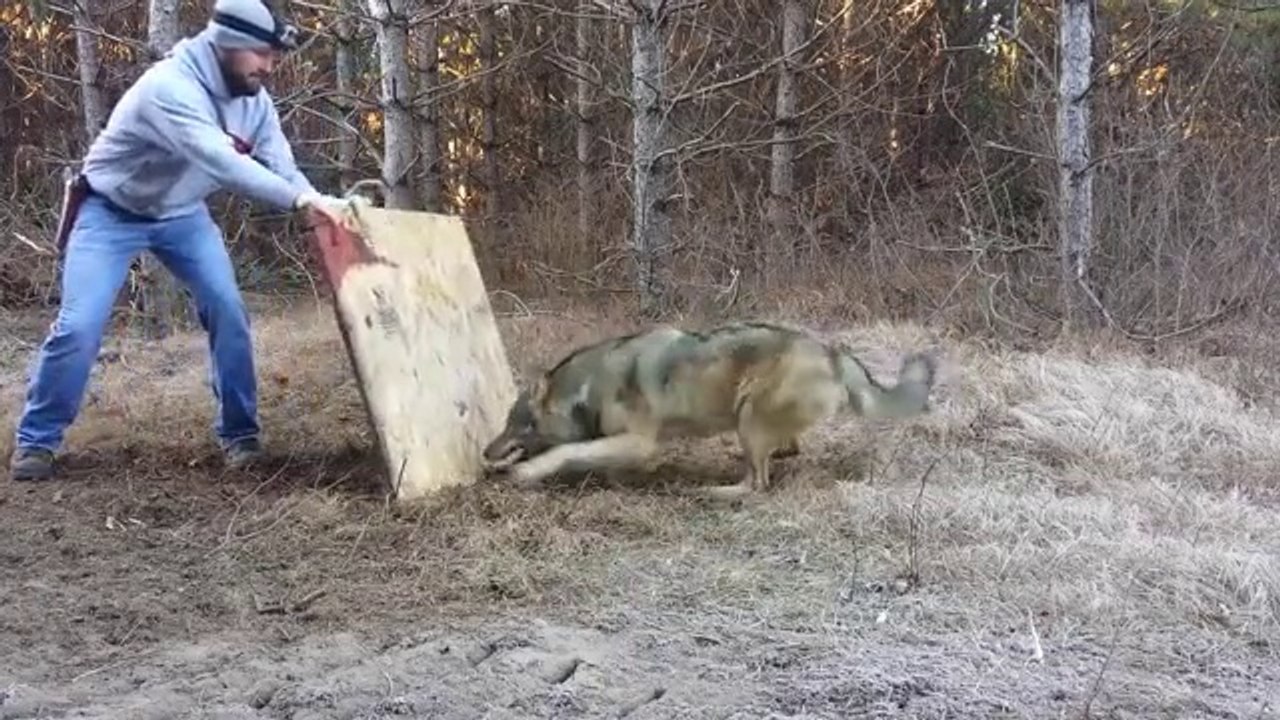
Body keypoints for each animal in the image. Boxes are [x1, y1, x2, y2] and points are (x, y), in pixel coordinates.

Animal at [481, 321, 939, 499]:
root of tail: (834, 352)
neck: (588, 390)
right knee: (786, 452)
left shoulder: (640, 442)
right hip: (753, 423)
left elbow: (566, 453)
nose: (485, 451)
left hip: (748, 418)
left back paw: (711, 492)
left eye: (511, 424)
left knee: (757, 485)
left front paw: (527, 473)